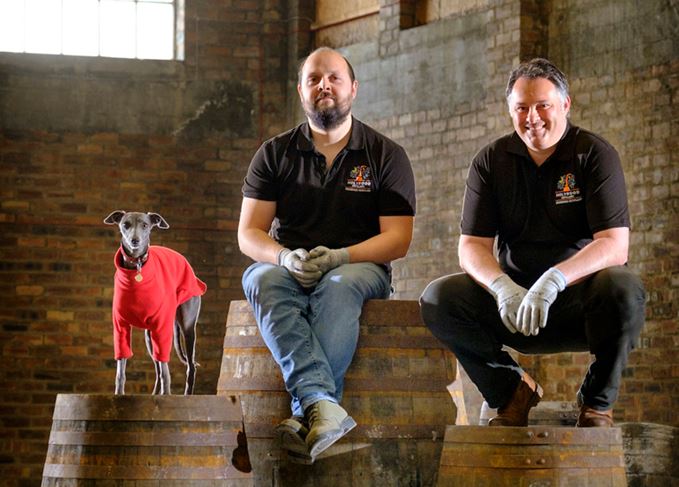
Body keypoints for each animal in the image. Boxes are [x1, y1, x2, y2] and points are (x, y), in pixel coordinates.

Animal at [104, 211, 207, 396]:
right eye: (125, 224)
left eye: (145, 225)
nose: (135, 241)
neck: (136, 269)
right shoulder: (120, 326)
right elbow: (121, 368)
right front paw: (118, 394)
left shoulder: (161, 327)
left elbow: (166, 368)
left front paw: (167, 394)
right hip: (149, 337)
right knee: (158, 368)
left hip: (188, 328)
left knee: (189, 366)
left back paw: (187, 394)